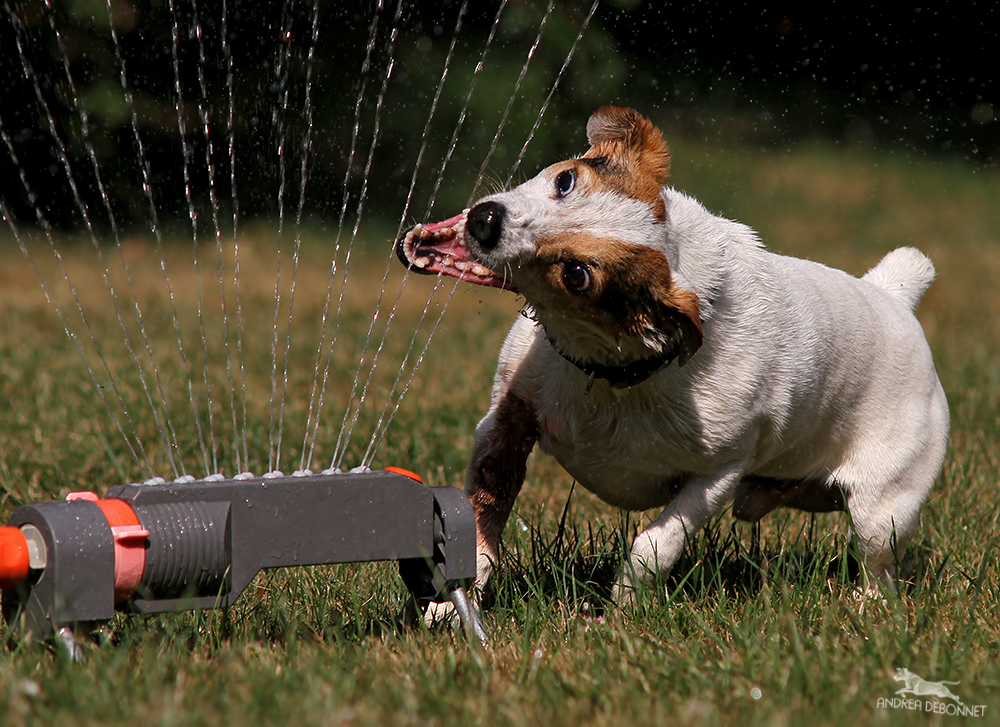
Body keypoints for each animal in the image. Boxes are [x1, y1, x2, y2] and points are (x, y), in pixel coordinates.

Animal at [394, 105, 948, 604]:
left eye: (577, 274)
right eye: (566, 179)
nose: (487, 221)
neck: (611, 370)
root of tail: (893, 295)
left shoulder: (717, 474)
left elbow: (656, 545)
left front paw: (622, 604)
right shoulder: (507, 420)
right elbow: (483, 509)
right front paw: (449, 602)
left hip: (882, 509)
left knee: (880, 564)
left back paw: (866, 605)